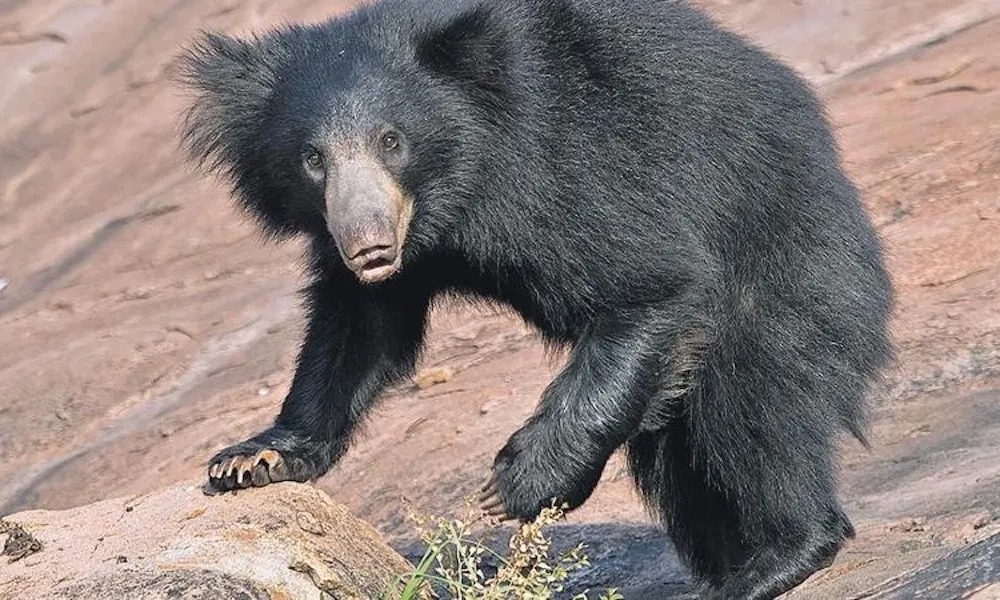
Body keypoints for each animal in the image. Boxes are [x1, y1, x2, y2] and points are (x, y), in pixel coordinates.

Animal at [176, 0, 896, 596]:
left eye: (391, 141)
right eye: (312, 158)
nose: (369, 246)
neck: (453, 195)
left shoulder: (564, 170)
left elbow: (651, 281)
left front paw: (512, 488)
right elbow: (361, 330)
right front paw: (255, 457)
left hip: (788, 267)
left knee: (755, 406)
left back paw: (774, 559)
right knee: (679, 454)